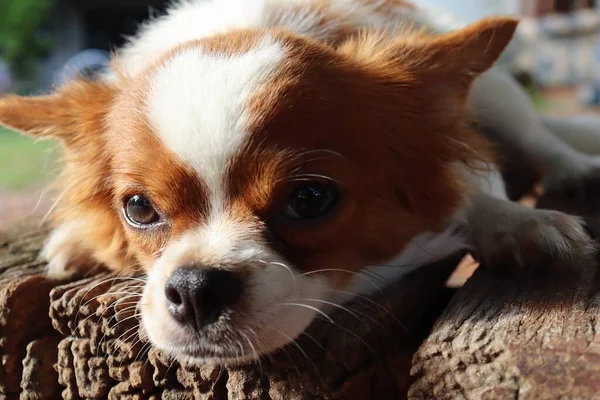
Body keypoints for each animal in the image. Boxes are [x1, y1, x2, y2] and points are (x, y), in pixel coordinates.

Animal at [0, 0, 596, 364]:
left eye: (310, 199)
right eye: (139, 208)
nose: (194, 287)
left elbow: (475, 195)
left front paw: (515, 222)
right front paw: (78, 239)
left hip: (499, 93)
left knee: (540, 137)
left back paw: (573, 167)